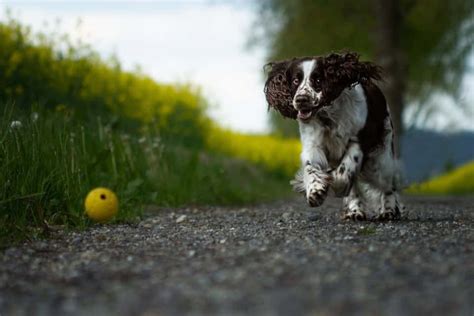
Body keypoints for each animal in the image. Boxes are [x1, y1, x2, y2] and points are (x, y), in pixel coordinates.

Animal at [264, 51, 402, 220]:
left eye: (318, 80)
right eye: (296, 80)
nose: (301, 99)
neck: (329, 116)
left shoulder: (360, 140)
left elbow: (345, 169)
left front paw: (336, 183)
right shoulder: (313, 145)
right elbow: (311, 167)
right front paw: (316, 191)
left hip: (382, 156)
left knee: (388, 185)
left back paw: (388, 211)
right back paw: (355, 212)